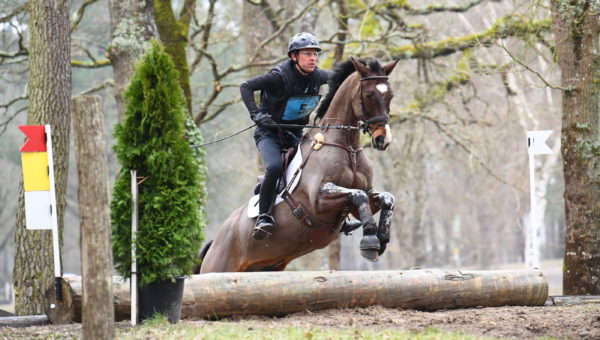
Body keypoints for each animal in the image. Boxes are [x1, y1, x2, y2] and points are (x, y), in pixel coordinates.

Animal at [199, 56, 398, 274]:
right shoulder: (318, 200)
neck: (348, 149)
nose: (383, 139)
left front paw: (382, 239)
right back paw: (263, 223)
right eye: (369, 95)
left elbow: (386, 198)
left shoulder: (364, 198)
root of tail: (215, 241)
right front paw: (370, 239)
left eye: (390, 95)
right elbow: (357, 194)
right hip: (219, 267)